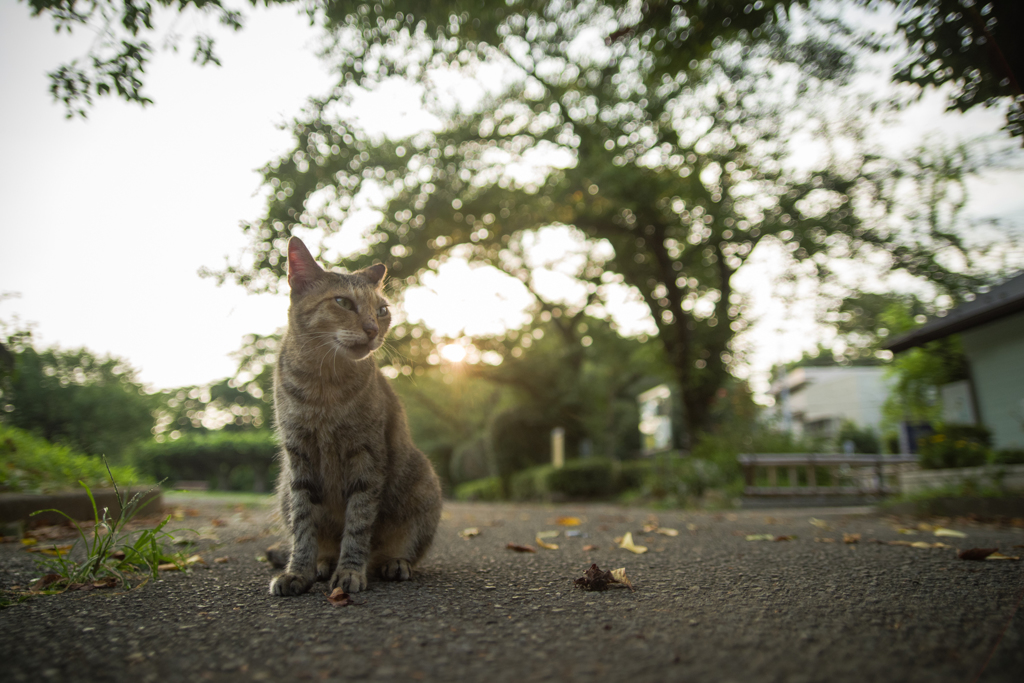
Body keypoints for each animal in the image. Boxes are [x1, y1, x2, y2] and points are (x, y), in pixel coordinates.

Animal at [268, 237, 440, 593]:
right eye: (342, 302)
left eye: (382, 310)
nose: (373, 329)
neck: (324, 386)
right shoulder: (298, 456)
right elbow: (303, 524)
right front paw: (299, 571)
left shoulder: (367, 455)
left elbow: (359, 523)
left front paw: (349, 571)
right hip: (283, 489)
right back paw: (322, 563)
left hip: (423, 484)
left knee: (397, 551)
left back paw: (393, 563)